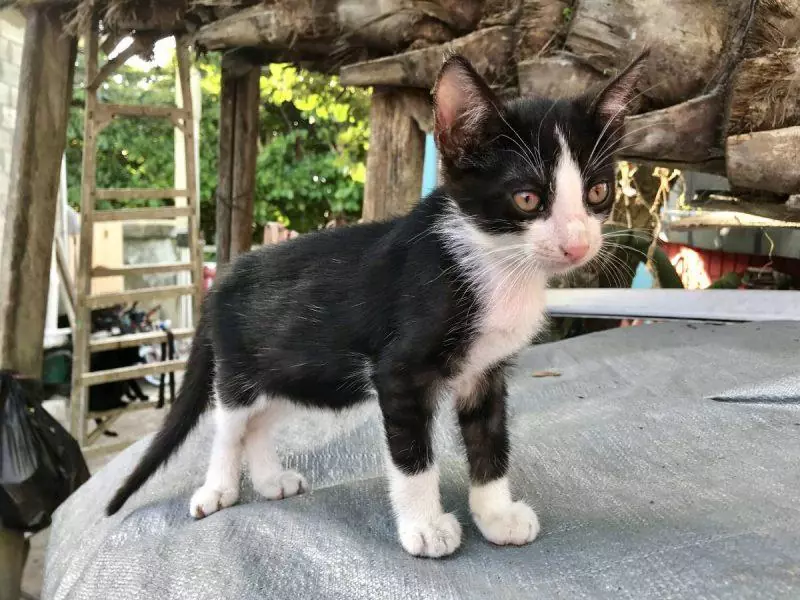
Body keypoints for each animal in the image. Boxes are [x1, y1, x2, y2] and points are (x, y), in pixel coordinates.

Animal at [108, 51, 648, 556]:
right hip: (239, 371)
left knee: (260, 422)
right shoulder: (399, 372)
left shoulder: (486, 373)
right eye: (528, 199)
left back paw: (270, 480)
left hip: (290, 368)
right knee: (229, 427)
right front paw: (425, 528)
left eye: (598, 191)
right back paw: (217, 489)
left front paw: (496, 515)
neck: (497, 265)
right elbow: (414, 458)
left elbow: (490, 443)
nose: (577, 245)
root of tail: (224, 276)